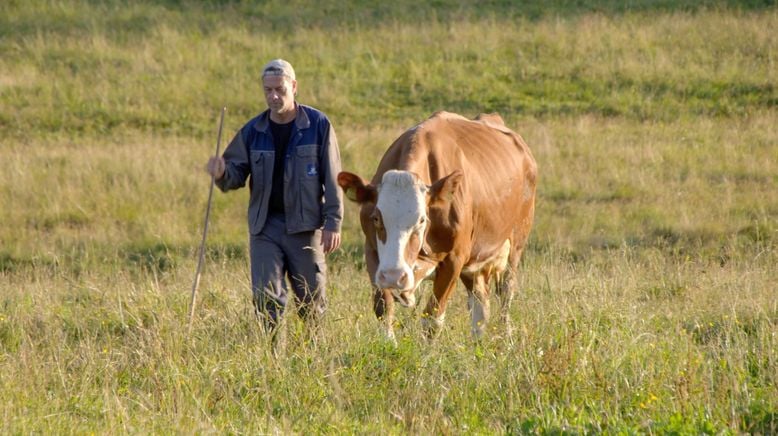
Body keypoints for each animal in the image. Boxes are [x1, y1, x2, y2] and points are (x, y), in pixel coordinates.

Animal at [336, 110, 536, 342]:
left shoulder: (454, 259)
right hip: (474, 265)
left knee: (505, 297)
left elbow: (432, 319)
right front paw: (389, 346)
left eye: (422, 220)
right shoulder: (373, 252)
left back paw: (507, 340)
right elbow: (384, 310)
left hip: (515, 245)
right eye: (376, 218)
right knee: (480, 307)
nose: (395, 276)